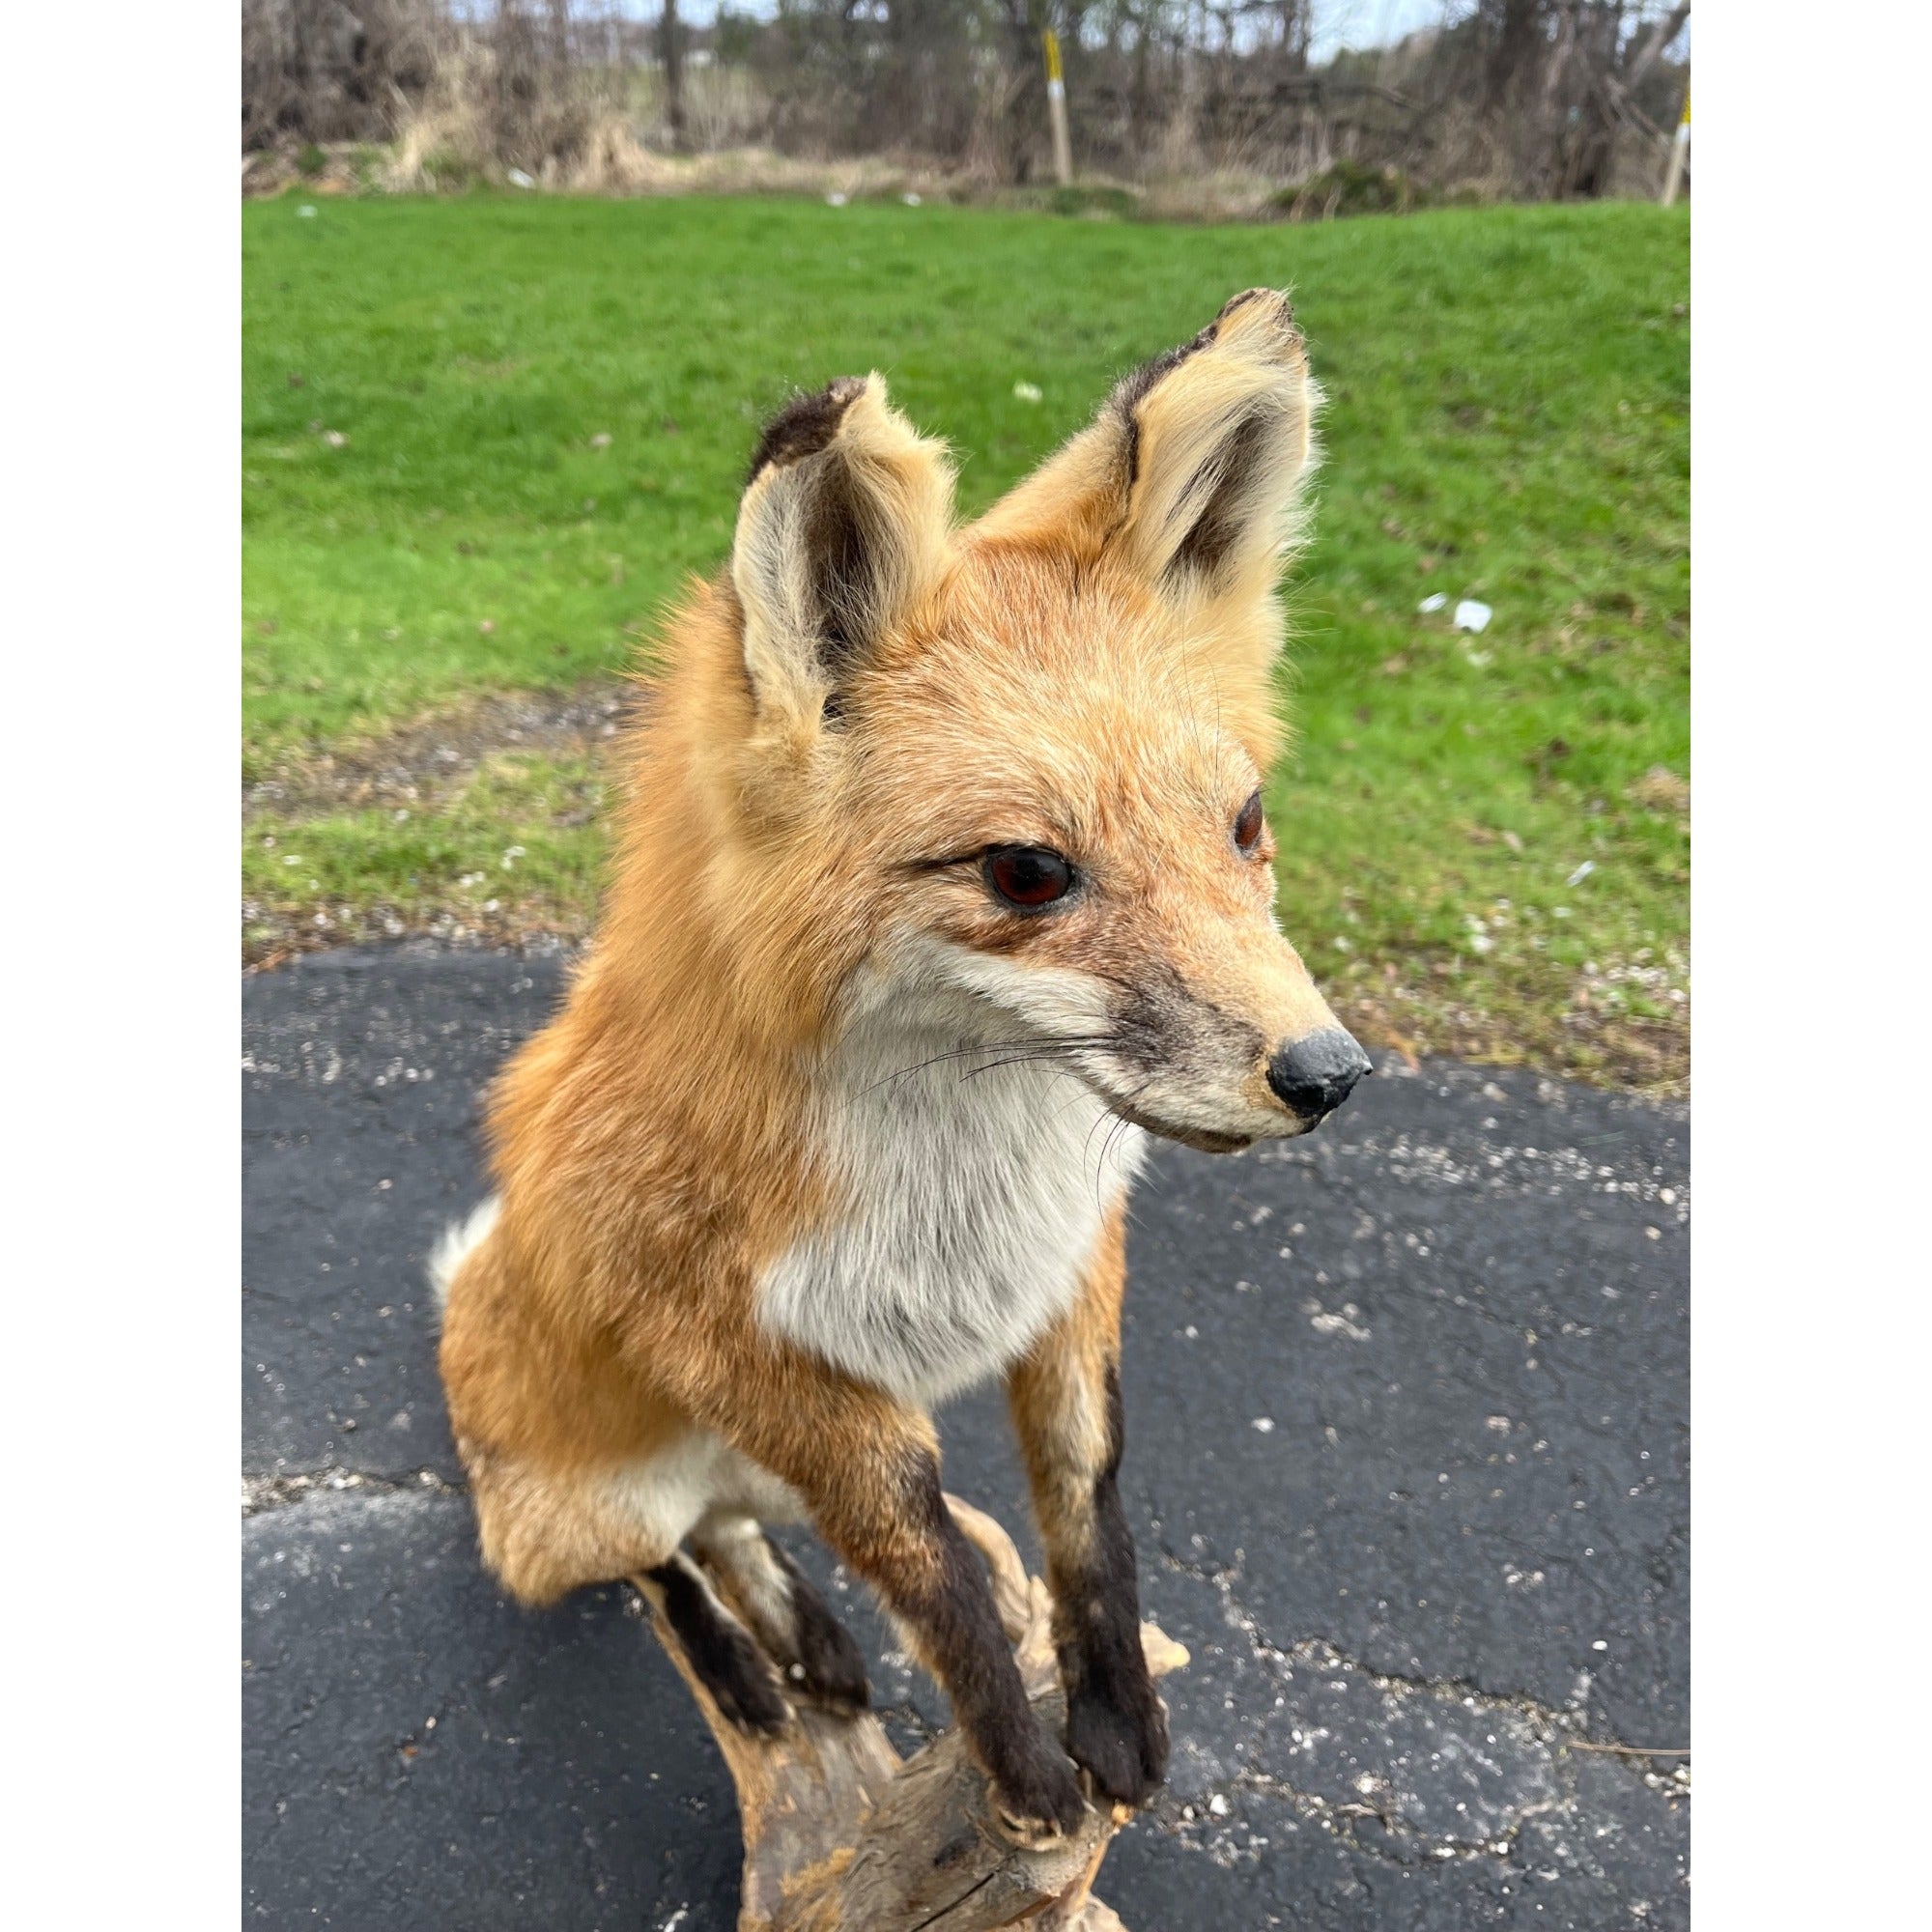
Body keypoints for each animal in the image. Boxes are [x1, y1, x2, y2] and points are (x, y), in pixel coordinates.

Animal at [433, 287, 1372, 1842]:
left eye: (1245, 824)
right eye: (1025, 872)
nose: (1327, 1074)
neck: (967, 1196)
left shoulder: (1070, 1276)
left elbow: (1088, 1512)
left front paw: (1117, 1722)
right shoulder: (769, 1368)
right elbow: (935, 1578)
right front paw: (1026, 1773)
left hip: (738, 1473)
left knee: (730, 1538)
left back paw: (802, 1635)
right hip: (615, 1493)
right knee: (653, 1568)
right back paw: (750, 1672)